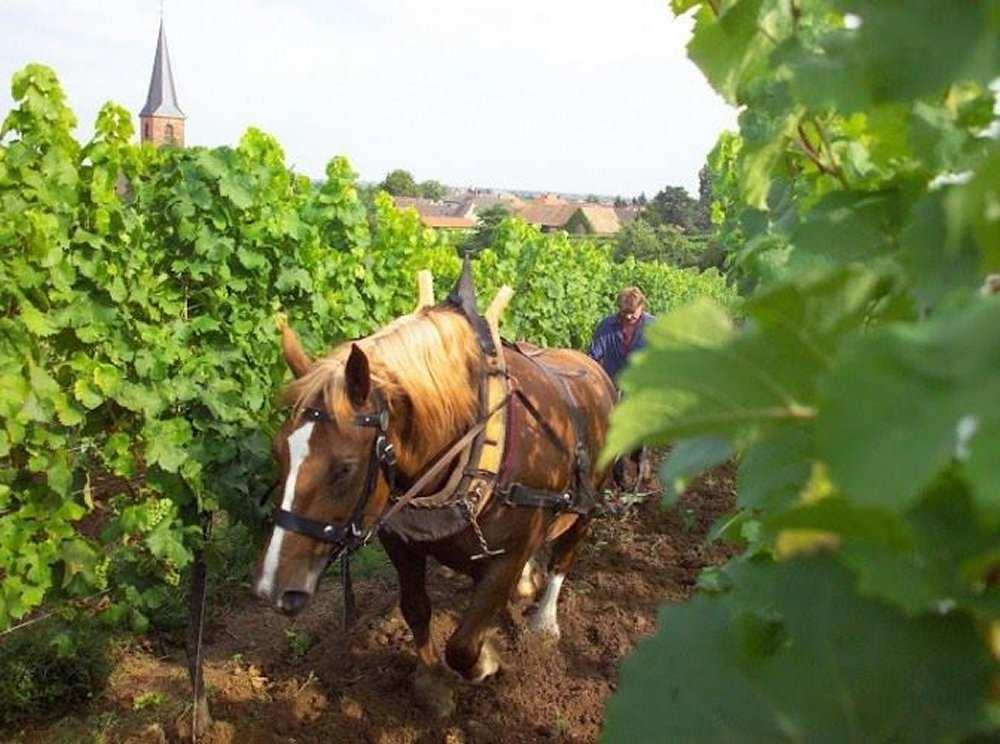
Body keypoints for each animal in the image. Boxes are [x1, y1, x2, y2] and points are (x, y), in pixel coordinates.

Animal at [252, 266, 616, 716]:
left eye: (344, 468)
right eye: (278, 451)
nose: (272, 588)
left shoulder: (509, 554)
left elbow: (463, 643)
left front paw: (486, 662)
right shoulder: (401, 542)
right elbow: (416, 608)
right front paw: (431, 684)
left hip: (587, 505)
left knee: (565, 556)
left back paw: (544, 622)